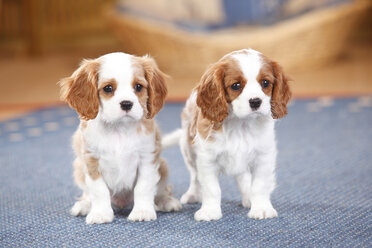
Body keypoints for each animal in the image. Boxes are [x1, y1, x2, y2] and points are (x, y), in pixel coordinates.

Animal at [59, 52, 182, 225]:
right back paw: (84, 205)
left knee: (161, 191)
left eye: (138, 87)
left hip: (163, 166)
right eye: (108, 88)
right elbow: (98, 190)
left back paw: (166, 201)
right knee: (87, 194)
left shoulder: (147, 158)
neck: (119, 129)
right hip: (78, 169)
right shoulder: (91, 161)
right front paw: (100, 213)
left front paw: (142, 211)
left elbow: (143, 187)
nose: (126, 104)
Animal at [165, 48, 290, 221]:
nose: (255, 101)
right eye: (236, 86)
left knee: (243, 177)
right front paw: (210, 211)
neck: (241, 124)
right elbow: (211, 188)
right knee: (195, 176)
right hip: (188, 150)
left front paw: (261, 208)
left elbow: (259, 186)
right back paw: (193, 195)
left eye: (265, 83)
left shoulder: (263, 157)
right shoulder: (207, 159)